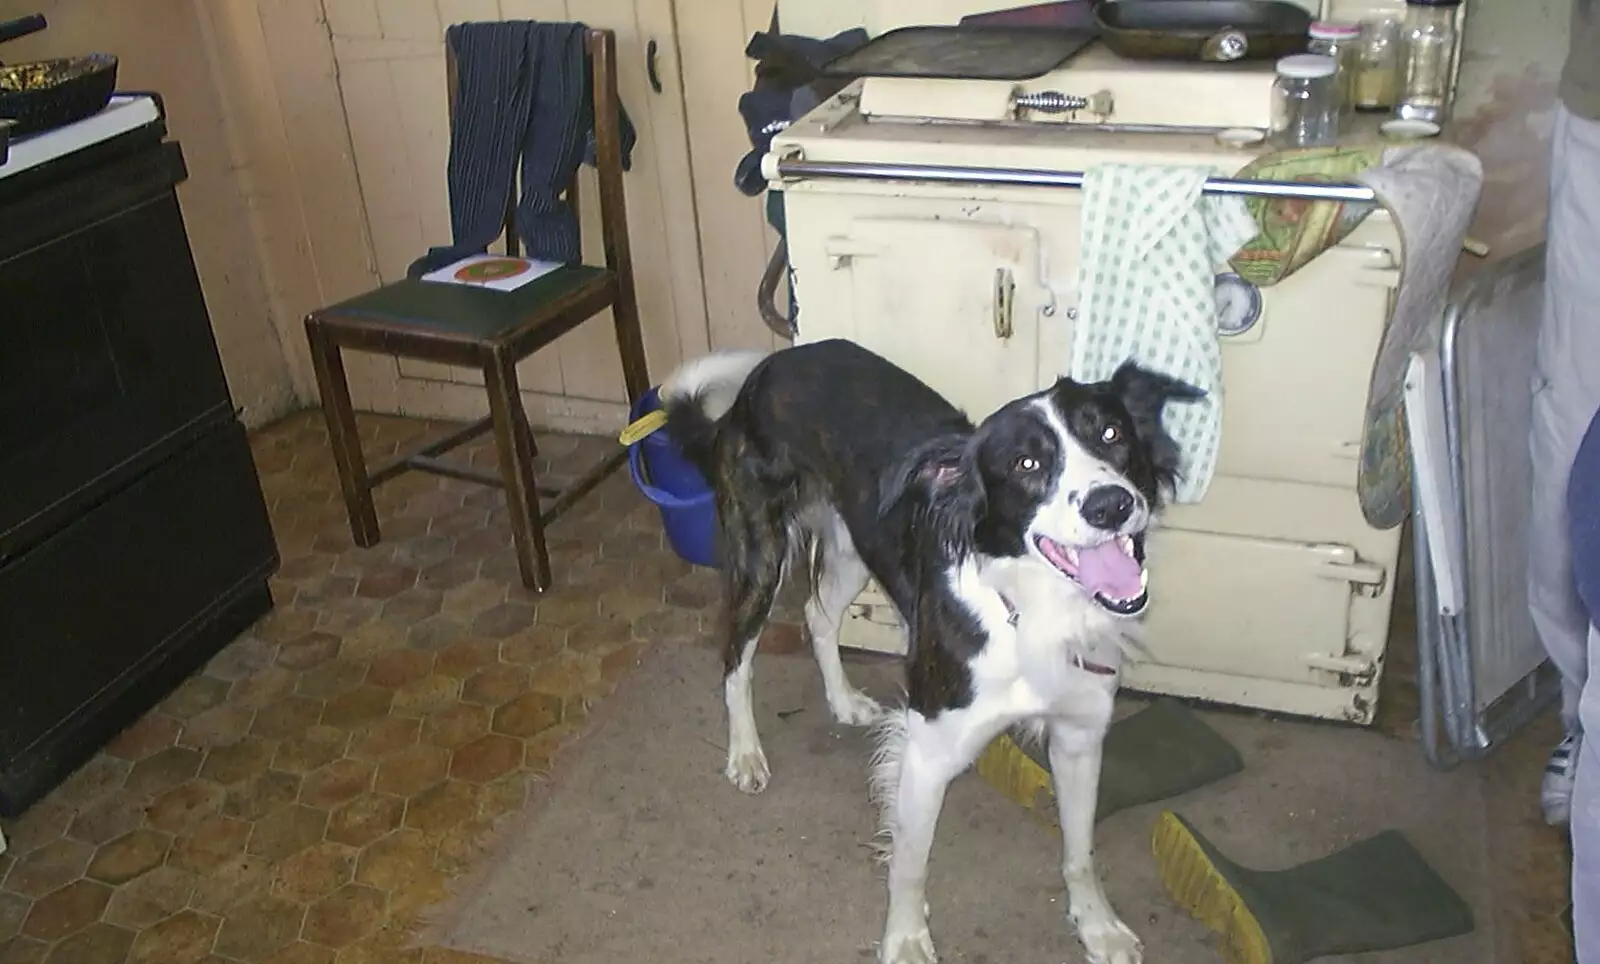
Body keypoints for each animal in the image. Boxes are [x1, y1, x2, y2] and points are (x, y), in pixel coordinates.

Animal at [659, 339, 1203, 960]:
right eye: (1027, 465)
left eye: (1112, 433)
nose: (1111, 505)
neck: (1030, 611)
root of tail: (763, 373)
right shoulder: (928, 751)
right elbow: (909, 863)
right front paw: (905, 939)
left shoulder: (1080, 736)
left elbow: (1080, 851)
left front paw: (1097, 925)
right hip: (761, 554)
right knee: (735, 656)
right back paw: (745, 753)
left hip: (855, 544)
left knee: (819, 614)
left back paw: (843, 701)